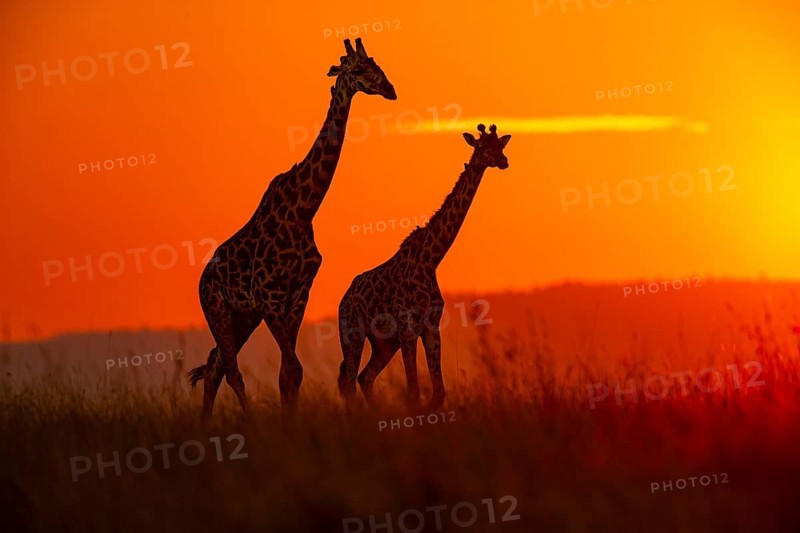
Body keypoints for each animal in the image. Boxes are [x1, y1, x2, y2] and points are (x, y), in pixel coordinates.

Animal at [188, 38, 396, 418]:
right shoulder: (269, 296)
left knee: (214, 368)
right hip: (216, 308)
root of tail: (203, 277)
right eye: (358, 69)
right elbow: (293, 369)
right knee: (228, 369)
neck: (303, 210)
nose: (390, 90)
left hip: (243, 316)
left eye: (378, 65)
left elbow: (289, 374)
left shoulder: (298, 295)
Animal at [337, 124, 511, 411]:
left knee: (363, 378)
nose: (504, 161)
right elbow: (414, 391)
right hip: (352, 333)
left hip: (384, 344)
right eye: (483, 147)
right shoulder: (408, 327)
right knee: (349, 382)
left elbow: (438, 393)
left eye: (501, 145)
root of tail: (343, 300)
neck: (430, 260)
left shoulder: (430, 327)